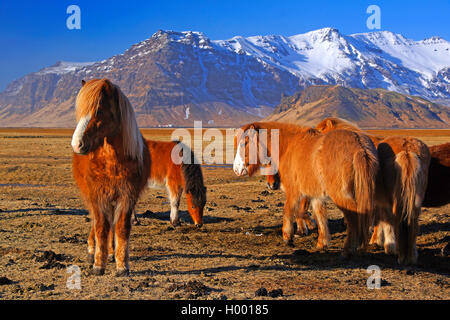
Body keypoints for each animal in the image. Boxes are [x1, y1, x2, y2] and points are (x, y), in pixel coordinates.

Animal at [232, 122, 380, 258]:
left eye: (245, 143)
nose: (236, 169)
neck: (288, 146)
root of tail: (359, 146)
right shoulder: (316, 195)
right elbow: (320, 215)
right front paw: (322, 243)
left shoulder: (293, 191)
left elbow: (288, 210)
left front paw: (288, 236)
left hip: (342, 196)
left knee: (354, 219)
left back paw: (348, 250)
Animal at [314, 117, 430, 264]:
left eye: (320, 130)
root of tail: (407, 150)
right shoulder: (378, 201)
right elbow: (380, 220)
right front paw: (380, 242)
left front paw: (382, 243)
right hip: (414, 200)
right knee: (412, 222)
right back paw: (411, 256)